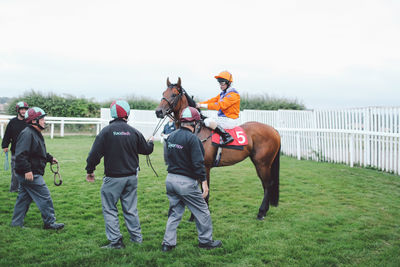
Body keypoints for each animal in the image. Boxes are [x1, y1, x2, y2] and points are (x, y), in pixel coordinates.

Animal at [155, 78, 280, 221]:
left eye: (174, 94)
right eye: (163, 92)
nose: (158, 111)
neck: (196, 129)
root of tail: (273, 130)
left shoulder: (205, 167)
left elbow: (205, 191)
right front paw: (193, 216)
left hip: (262, 163)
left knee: (268, 184)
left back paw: (261, 212)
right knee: (266, 185)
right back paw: (265, 211)